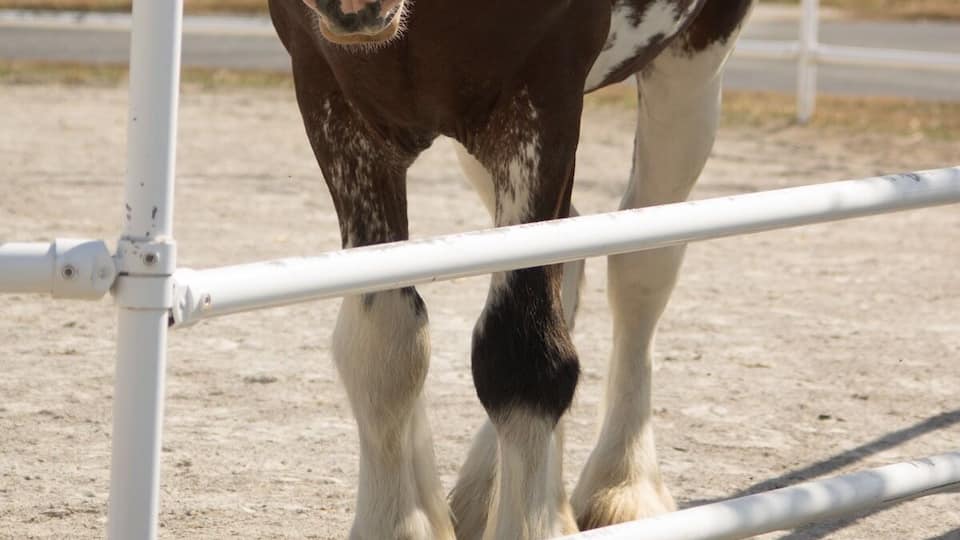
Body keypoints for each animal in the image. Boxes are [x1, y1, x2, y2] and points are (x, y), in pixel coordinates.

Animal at [268, 0, 753, 538]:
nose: (351, 9)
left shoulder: (546, 91)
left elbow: (522, 358)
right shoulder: (331, 94)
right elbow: (383, 346)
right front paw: (402, 521)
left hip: (694, 61)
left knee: (641, 270)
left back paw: (624, 484)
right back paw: (494, 494)